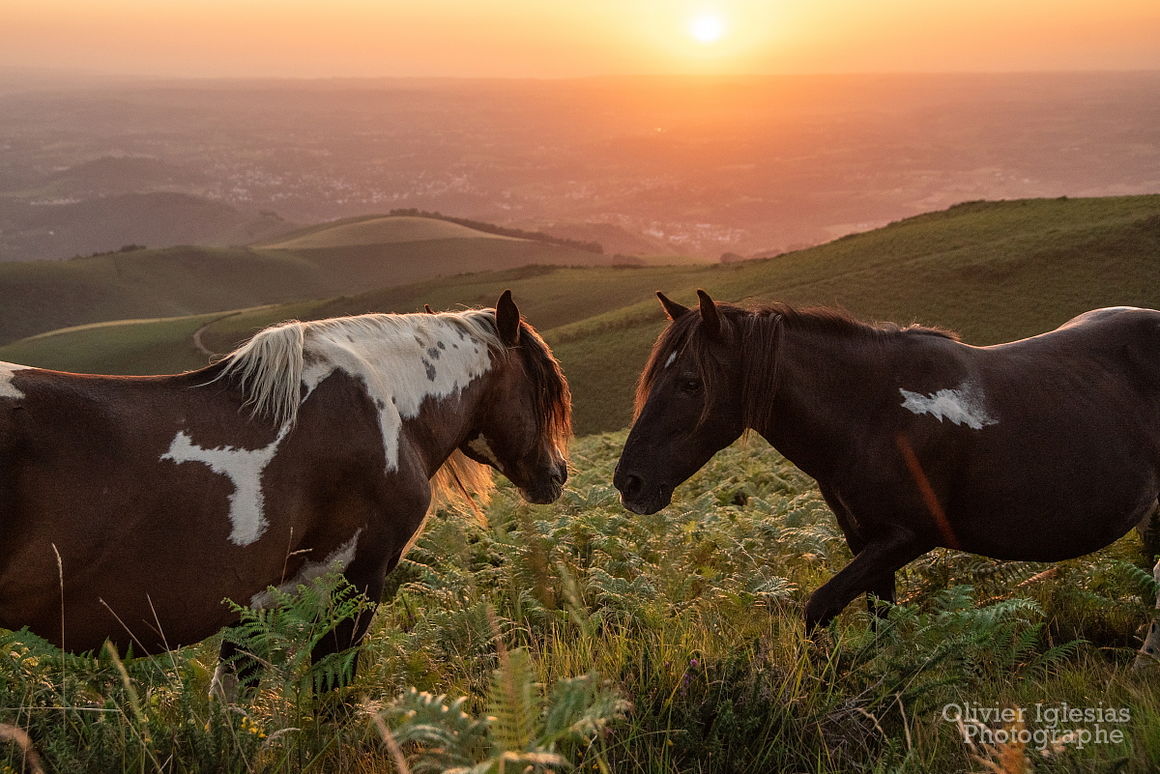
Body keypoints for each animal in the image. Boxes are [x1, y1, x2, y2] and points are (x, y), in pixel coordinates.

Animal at [0, 290, 566, 696]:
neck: (388, 408)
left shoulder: (257, 604)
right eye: (542, 387)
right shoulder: (357, 581)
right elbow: (330, 698)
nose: (557, 475)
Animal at [617, 287, 1160, 663]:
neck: (873, 414)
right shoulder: (867, 541)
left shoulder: (908, 536)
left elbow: (819, 607)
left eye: (691, 383)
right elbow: (881, 620)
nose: (629, 482)